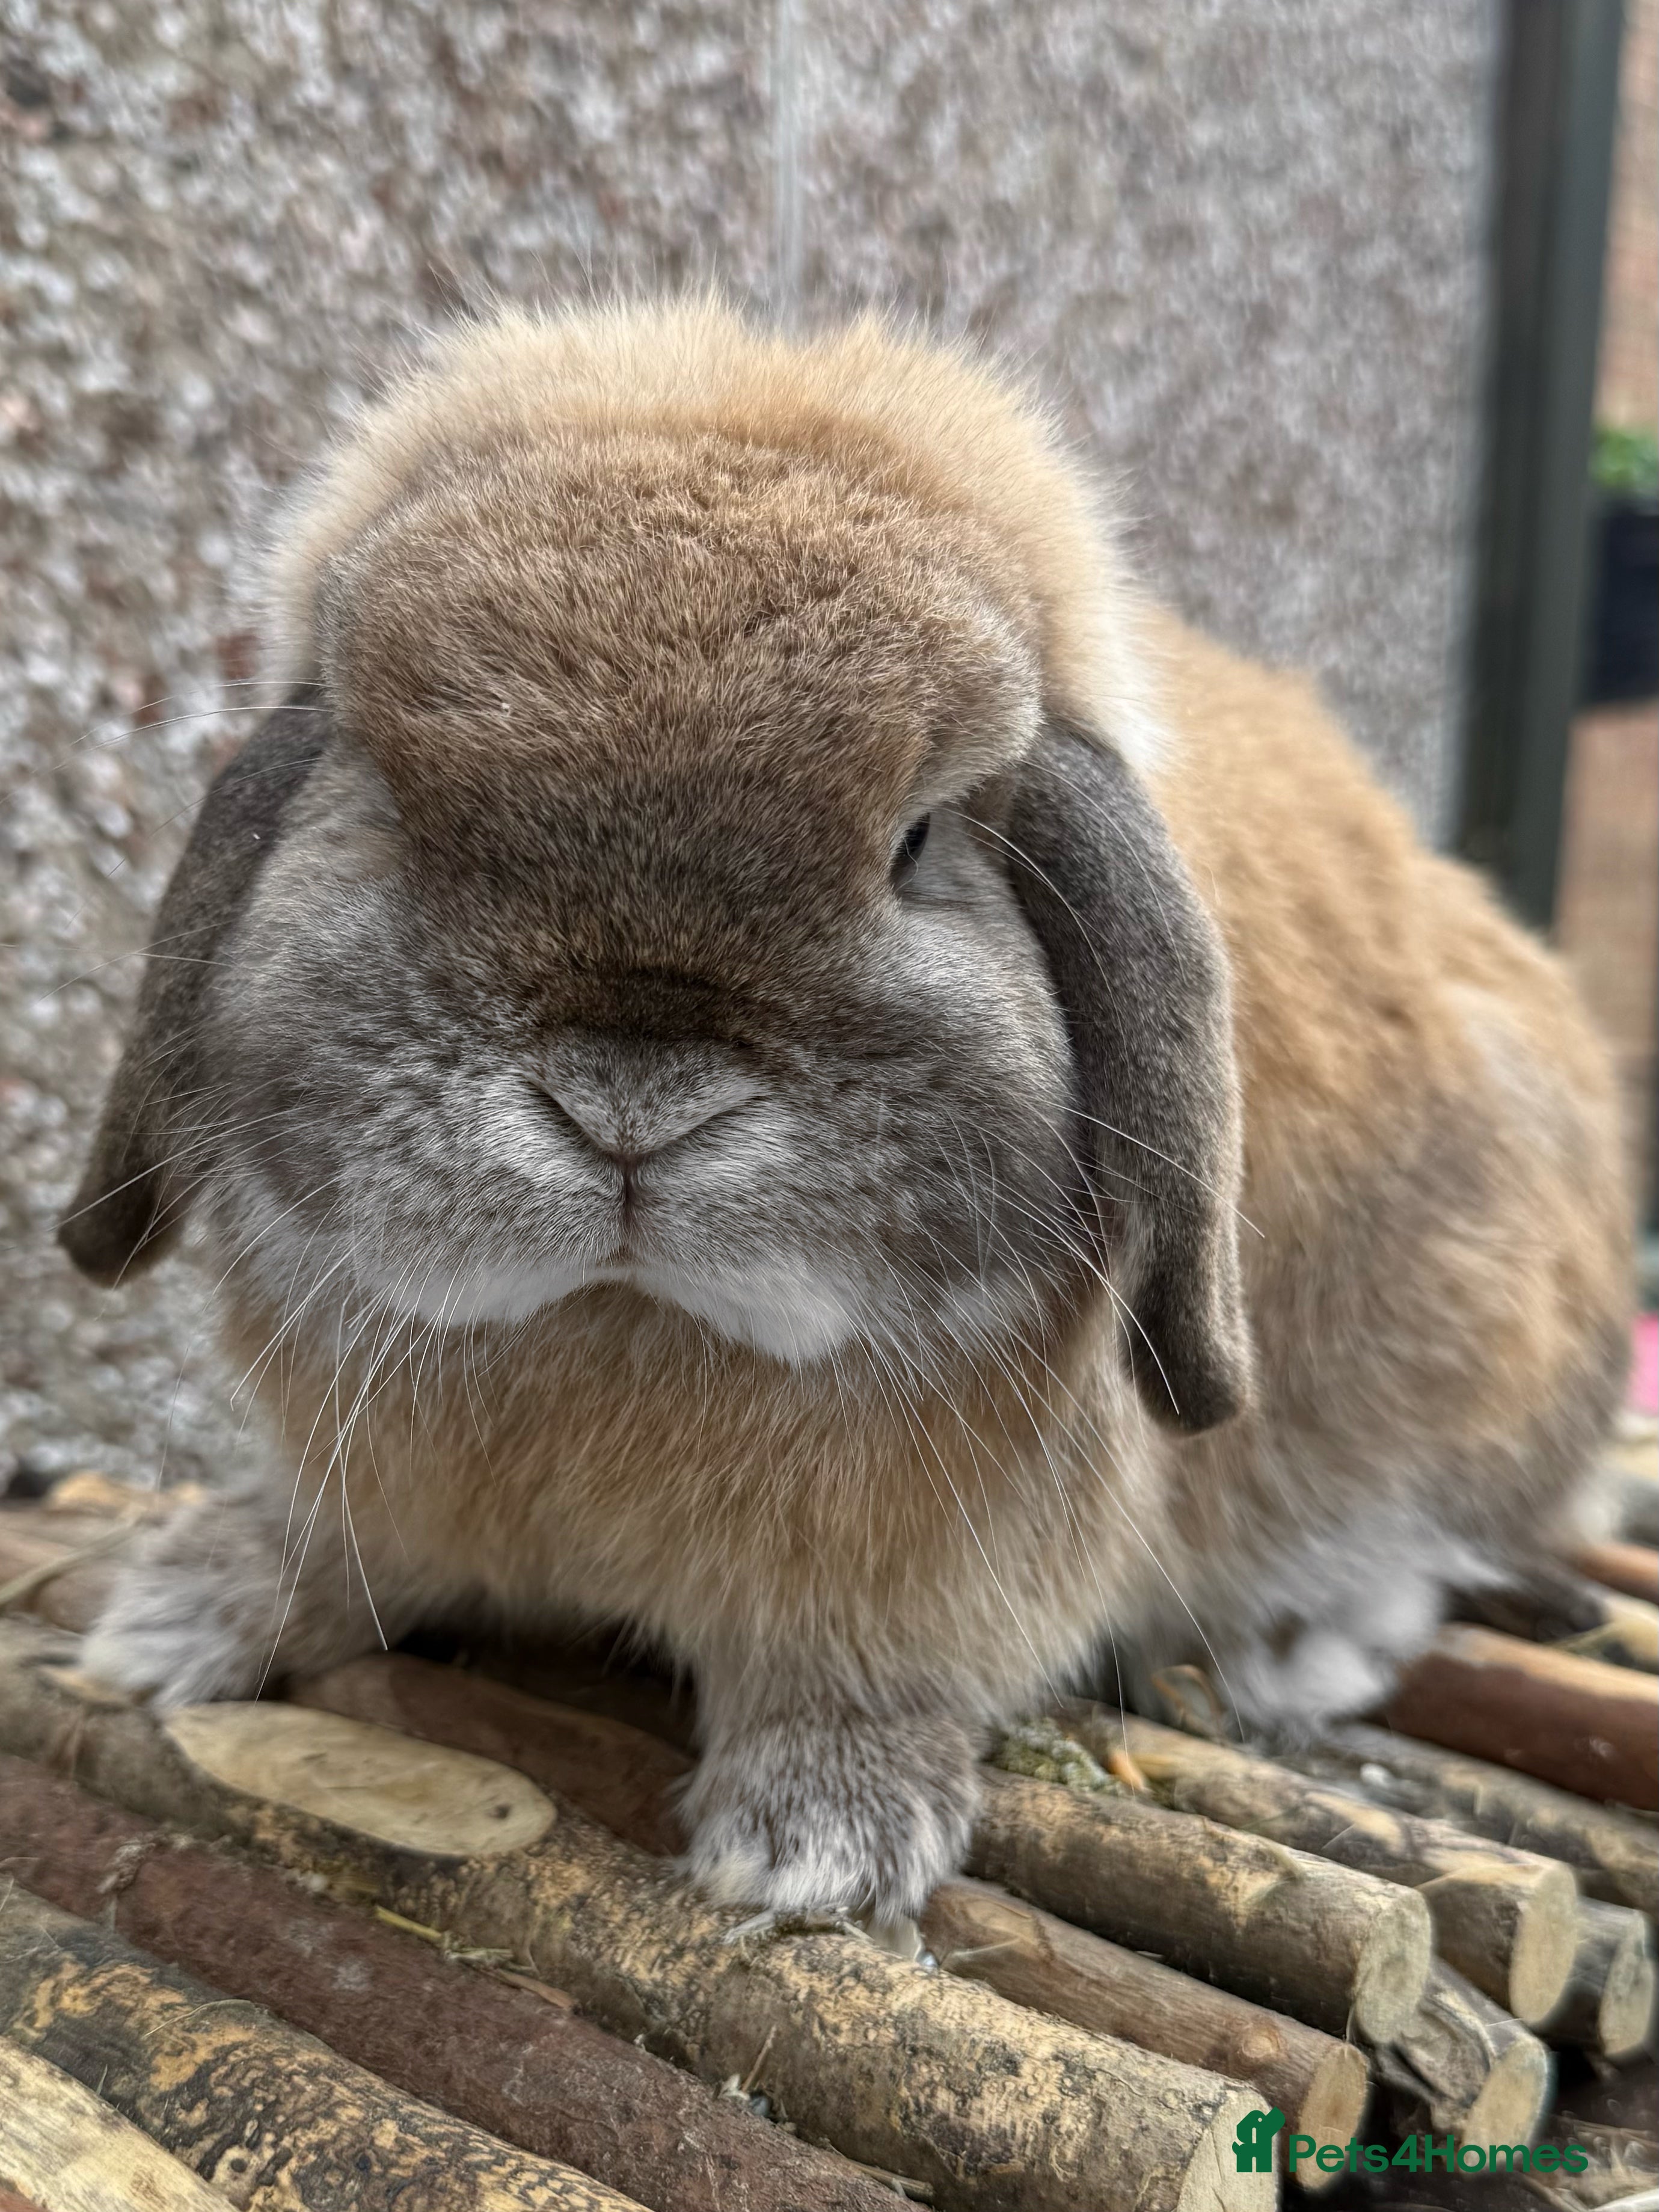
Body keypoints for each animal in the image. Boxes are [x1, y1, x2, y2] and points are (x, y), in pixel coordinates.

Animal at [62, 300, 1631, 1926]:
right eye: (387, 806)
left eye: (918, 839)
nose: (632, 1102)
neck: (624, 1327)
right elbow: (344, 1545)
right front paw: (172, 1620)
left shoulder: (931, 1586)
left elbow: (859, 1679)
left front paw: (814, 1849)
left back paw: (1286, 1652)